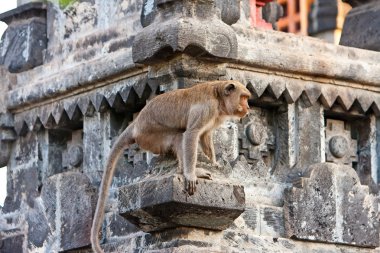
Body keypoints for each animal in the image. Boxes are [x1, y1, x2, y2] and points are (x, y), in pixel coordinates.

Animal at [90, 80, 251, 252]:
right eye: (243, 97)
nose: (248, 107)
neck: (218, 96)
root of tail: (136, 123)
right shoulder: (207, 109)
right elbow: (192, 134)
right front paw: (190, 175)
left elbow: (205, 136)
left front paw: (213, 161)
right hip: (151, 136)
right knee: (178, 135)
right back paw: (187, 171)